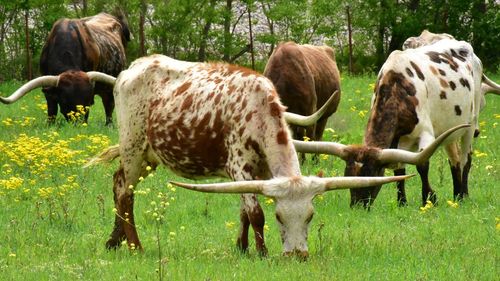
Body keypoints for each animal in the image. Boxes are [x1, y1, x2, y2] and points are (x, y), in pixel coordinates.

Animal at [0, 12, 129, 123]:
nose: (79, 124)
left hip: (109, 88)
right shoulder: (48, 90)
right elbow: (52, 110)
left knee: (109, 105)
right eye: (65, 100)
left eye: (88, 102)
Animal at [86, 53, 442, 258]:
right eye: (280, 217)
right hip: (133, 148)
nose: (297, 255)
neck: (258, 112)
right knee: (124, 191)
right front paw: (260, 252)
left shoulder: (261, 172)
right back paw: (135, 245)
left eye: (310, 216)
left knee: (120, 187)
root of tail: (132, 68)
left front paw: (242, 248)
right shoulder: (238, 167)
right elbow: (255, 212)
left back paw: (114, 241)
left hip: (150, 154)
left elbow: (245, 211)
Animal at [296, 38, 476, 207]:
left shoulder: (426, 134)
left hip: (471, 123)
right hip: (449, 129)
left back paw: (464, 195)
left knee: (466, 159)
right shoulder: (397, 141)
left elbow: (422, 165)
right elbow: (399, 170)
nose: (357, 206)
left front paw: (429, 199)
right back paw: (457, 194)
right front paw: (402, 202)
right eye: (348, 174)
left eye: (372, 174)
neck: (398, 88)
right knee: (454, 159)